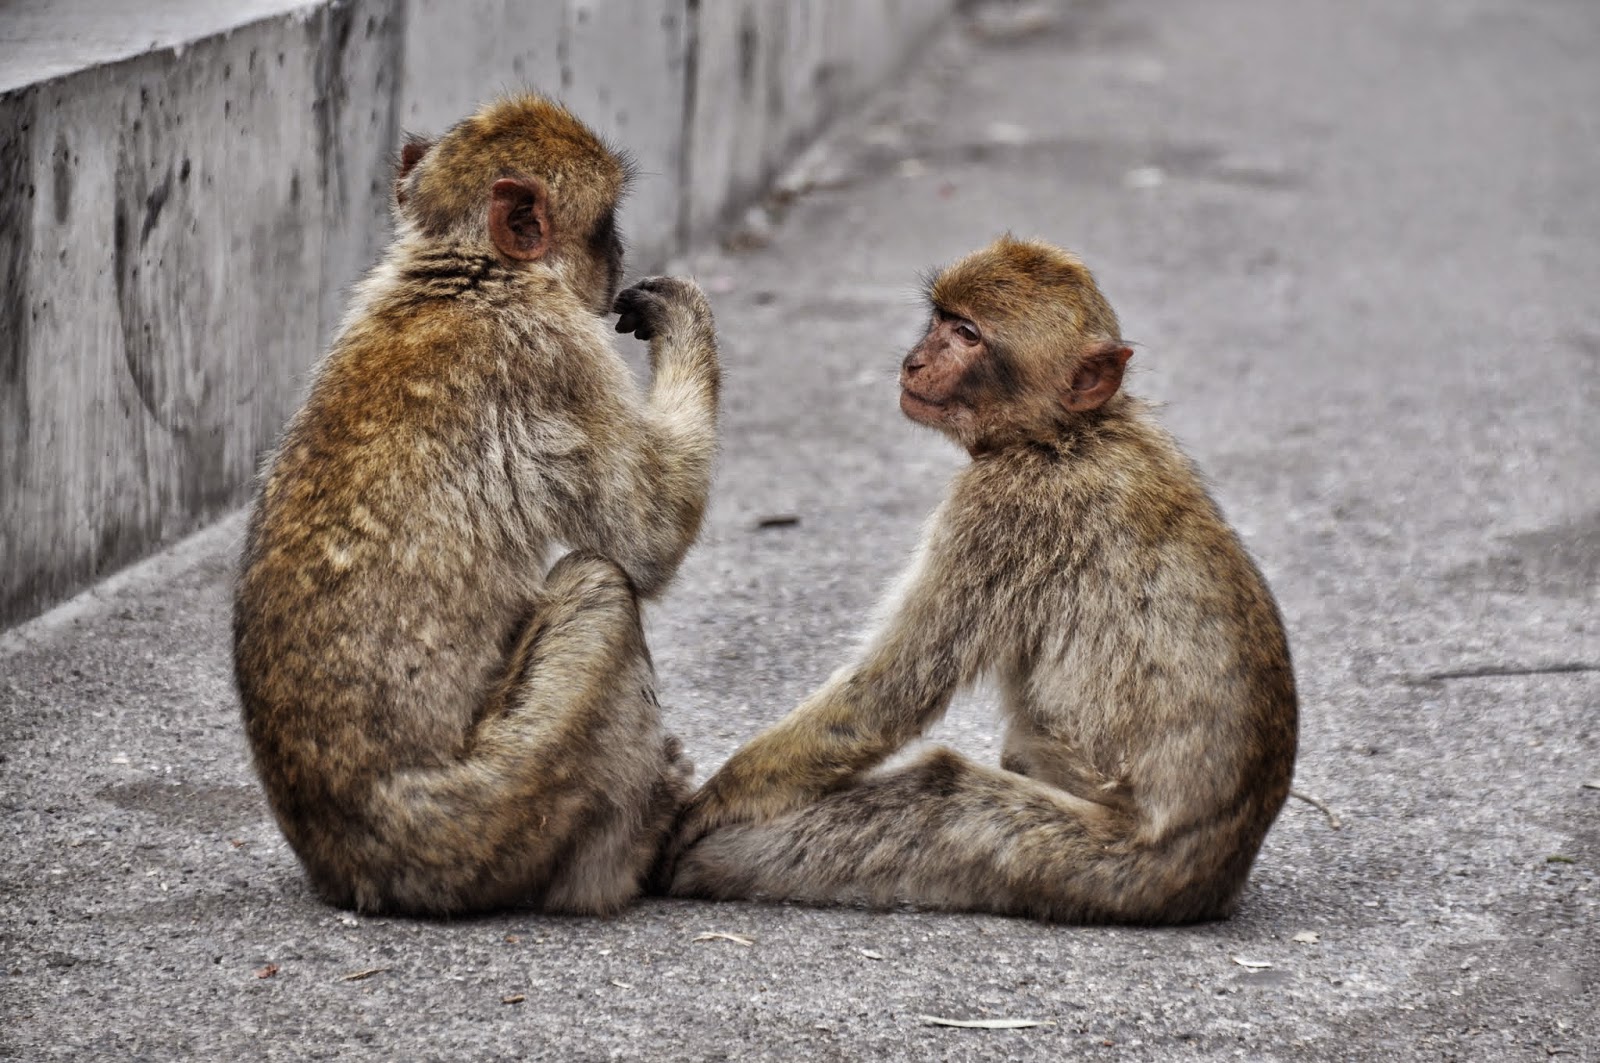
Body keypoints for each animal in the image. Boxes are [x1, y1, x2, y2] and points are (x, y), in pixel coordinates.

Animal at [232, 95, 720, 915]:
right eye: (605, 222)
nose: (619, 254)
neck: (468, 271)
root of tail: (355, 866)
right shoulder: (557, 352)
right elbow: (649, 534)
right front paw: (686, 314)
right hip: (495, 814)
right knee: (599, 586)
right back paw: (619, 858)